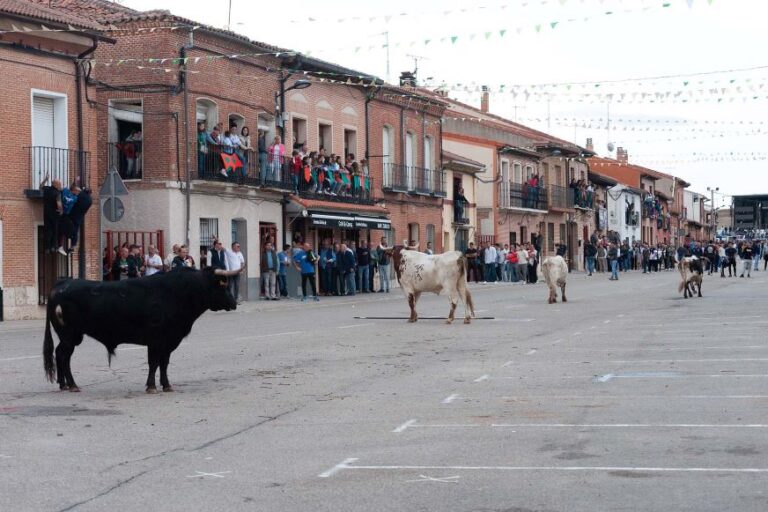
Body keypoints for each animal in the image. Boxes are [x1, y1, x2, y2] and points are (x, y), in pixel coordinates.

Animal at [45, 266, 237, 394]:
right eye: (222, 285)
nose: (234, 303)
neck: (179, 292)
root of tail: (62, 284)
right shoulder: (156, 340)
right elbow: (154, 363)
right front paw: (151, 386)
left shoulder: (169, 341)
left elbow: (164, 363)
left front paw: (166, 385)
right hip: (70, 335)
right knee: (63, 356)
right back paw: (72, 385)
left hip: (68, 336)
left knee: (60, 354)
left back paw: (63, 384)